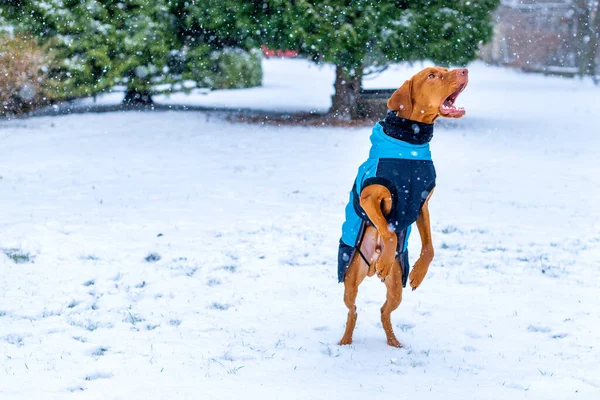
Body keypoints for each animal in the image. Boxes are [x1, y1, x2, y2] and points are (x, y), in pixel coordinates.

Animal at [338, 65, 468, 346]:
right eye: (432, 75)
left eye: (445, 70)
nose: (464, 70)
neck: (410, 145)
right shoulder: (369, 198)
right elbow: (387, 231)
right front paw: (385, 259)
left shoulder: (421, 204)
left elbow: (429, 247)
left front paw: (418, 273)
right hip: (350, 279)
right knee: (352, 310)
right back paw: (345, 340)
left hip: (397, 286)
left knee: (384, 311)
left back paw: (393, 342)